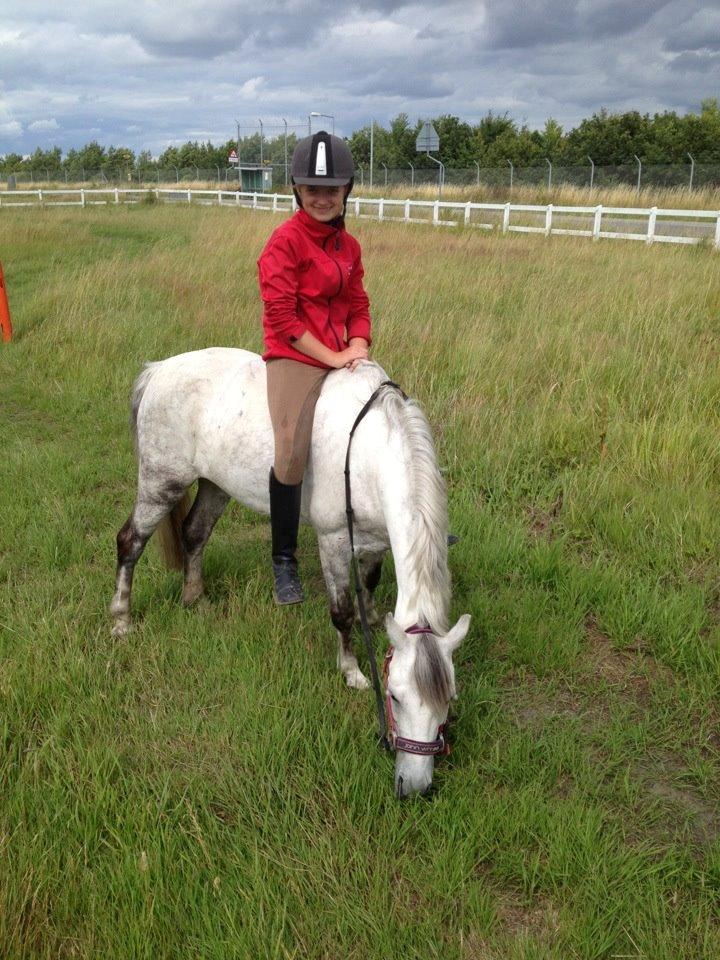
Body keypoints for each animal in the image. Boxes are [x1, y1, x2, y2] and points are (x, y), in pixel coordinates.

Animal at [110, 348, 470, 797]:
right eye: (396, 696)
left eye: (448, 702)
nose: (416, 787)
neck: (368, 452)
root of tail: (158, 370)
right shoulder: (334, 540)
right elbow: (341, 613)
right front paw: (351, 672)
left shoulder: (376, 539)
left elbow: (368, 585)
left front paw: (372, 618)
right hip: (161, 483)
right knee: (130, 543)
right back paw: (121, 620)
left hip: (215, 484)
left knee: (194, 532)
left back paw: (195, 598)